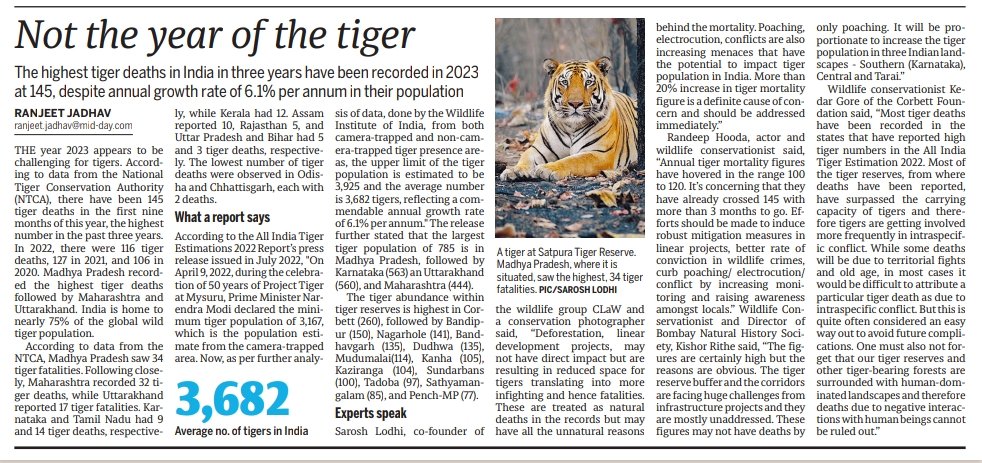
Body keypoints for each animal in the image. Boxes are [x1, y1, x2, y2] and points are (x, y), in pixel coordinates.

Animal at [500, 56, 638, 181]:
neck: (572, 127)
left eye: (588, 82)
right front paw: (515, 170)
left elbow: (573, 160)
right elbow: (525, 156)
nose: (575, 103)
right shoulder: (540, 149)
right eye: (565, 82)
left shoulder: (600, 153)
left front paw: (548, 169)